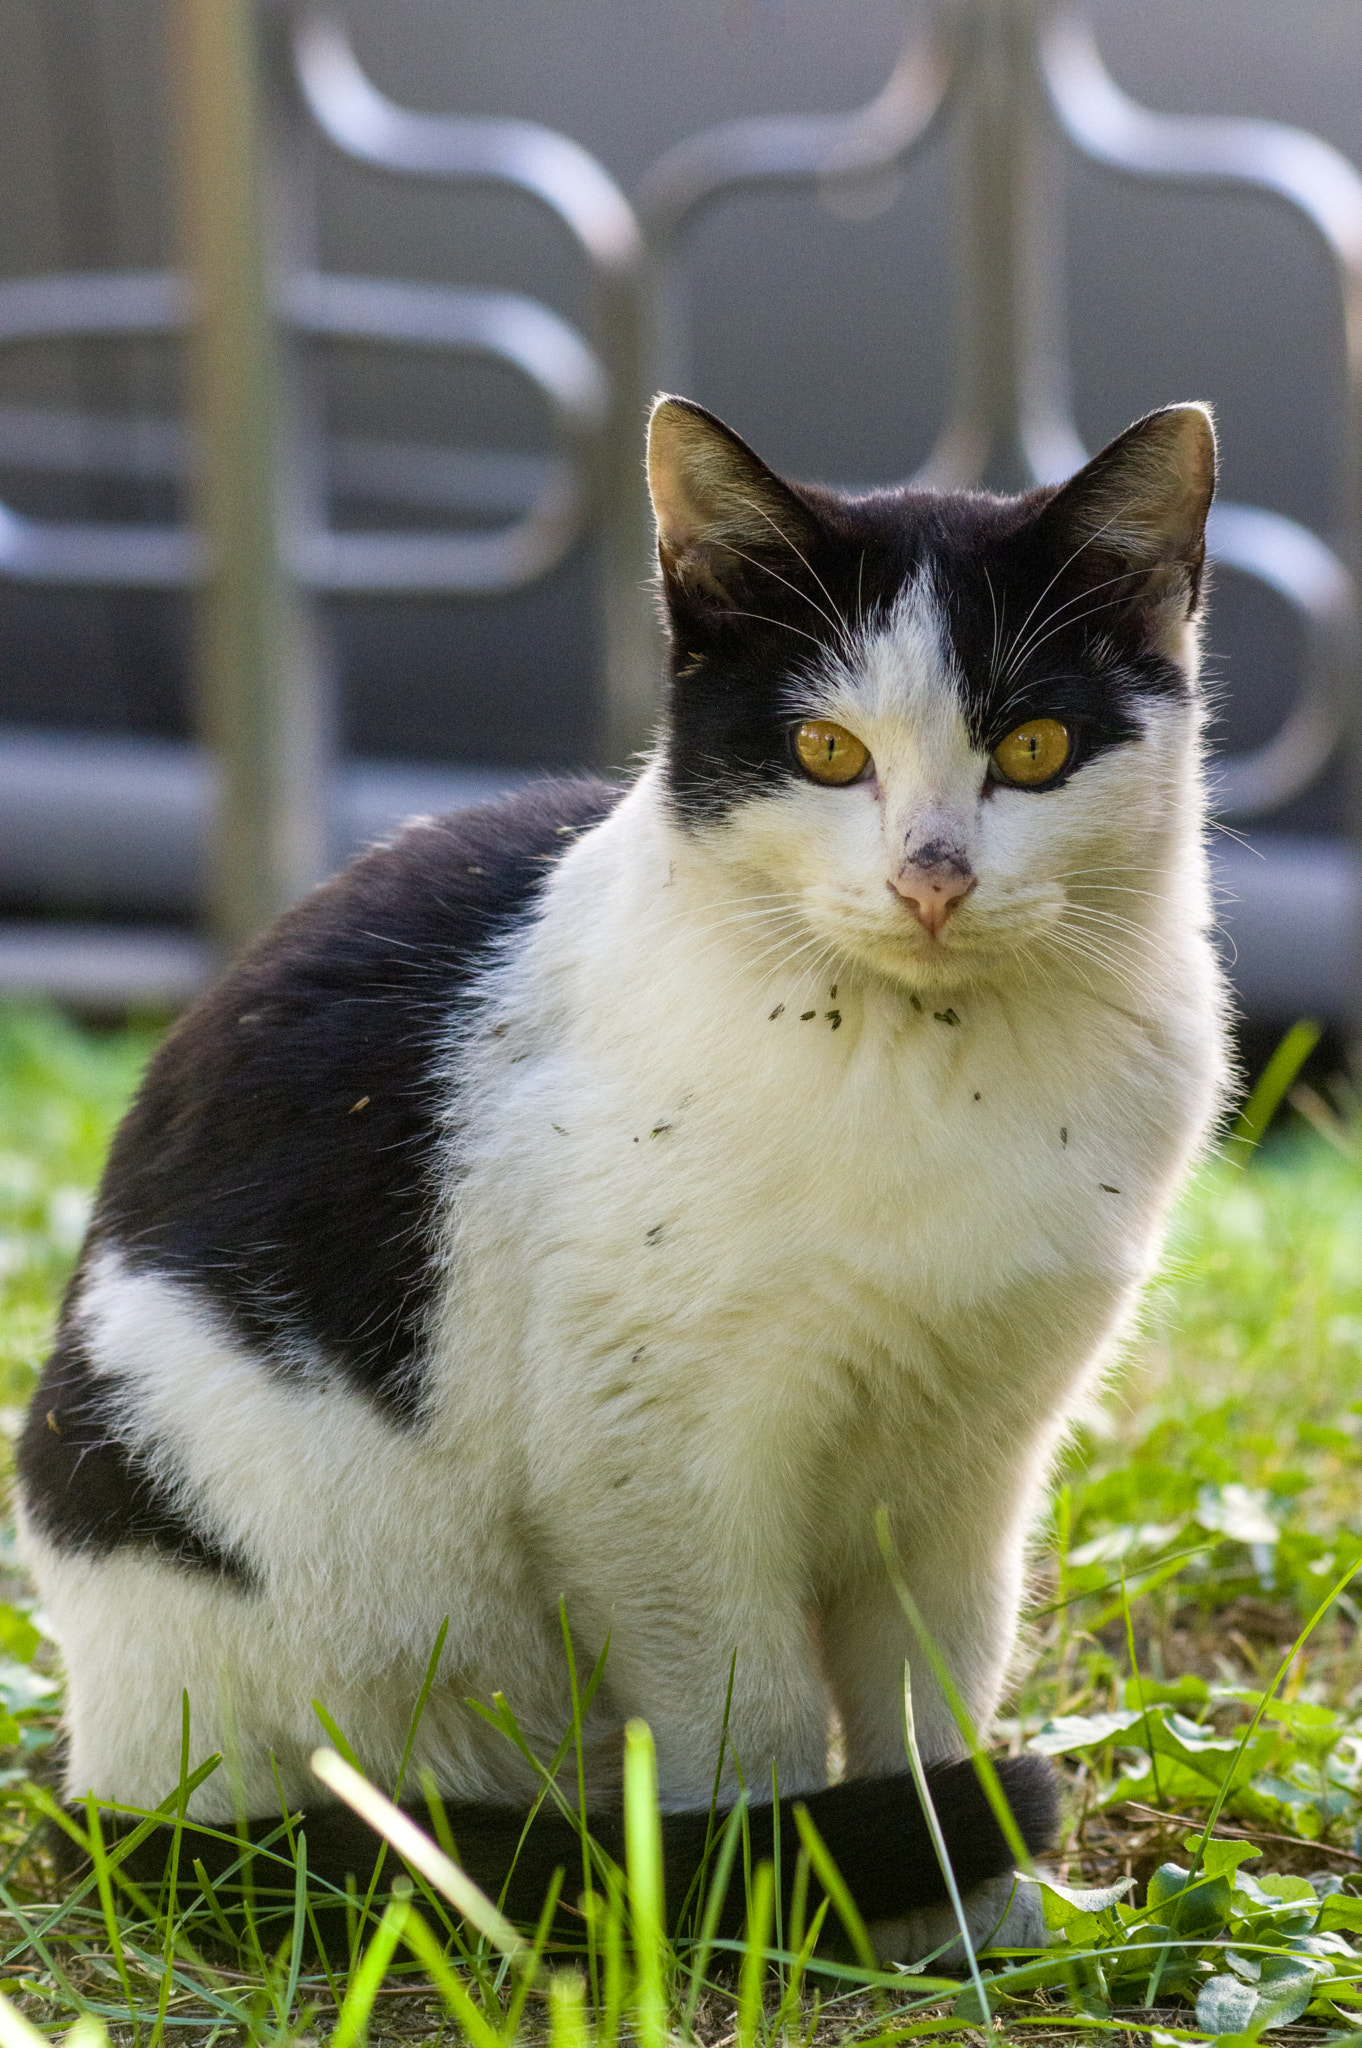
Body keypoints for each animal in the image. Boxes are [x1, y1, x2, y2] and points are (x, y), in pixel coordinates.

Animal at [13, 395, 1220, 1949]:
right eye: (826, 751)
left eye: (1036, 745)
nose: (932, 876)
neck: (931, 1061)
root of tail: (101, 1791)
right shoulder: (646, 1454)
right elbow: (752, 1711)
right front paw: (775, 1896)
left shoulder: (974, 1456)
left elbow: (931, 1687)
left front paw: (955, 1922)